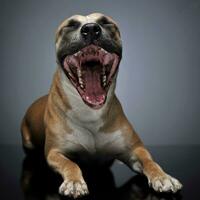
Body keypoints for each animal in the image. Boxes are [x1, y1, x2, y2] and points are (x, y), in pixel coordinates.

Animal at [21, 12, 182, 198]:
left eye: (105, 22)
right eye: (70, 24)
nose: (91, 28)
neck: (90, 113)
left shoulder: (135, 149)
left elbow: (149, 161)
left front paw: (163, 177)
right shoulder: (55, 152)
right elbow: (70, 164)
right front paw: (74, 182)